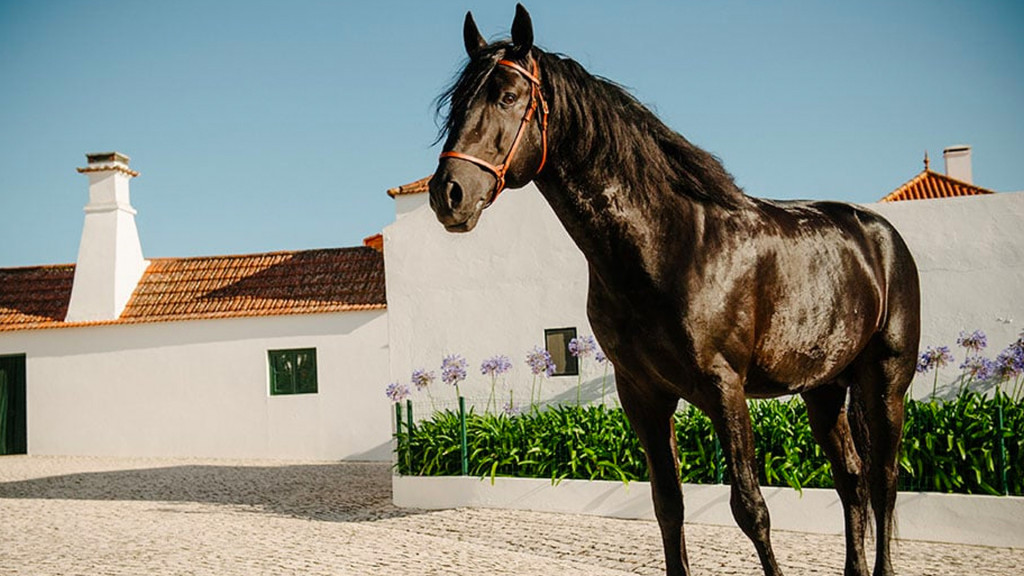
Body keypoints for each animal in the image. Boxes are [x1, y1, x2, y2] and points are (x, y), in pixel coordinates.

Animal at [427, 6, 920, 576]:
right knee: (852, 479)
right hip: (823, 389)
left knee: (884, 480)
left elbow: (751, 508)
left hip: (885, 383)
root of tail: (882, 236)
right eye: (457, 103)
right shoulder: (643, 395)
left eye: (507, 95)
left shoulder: (725, 389)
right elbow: (667, 504)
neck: (669, 244)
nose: (448, 194)